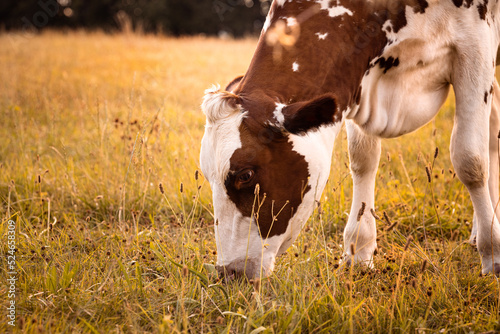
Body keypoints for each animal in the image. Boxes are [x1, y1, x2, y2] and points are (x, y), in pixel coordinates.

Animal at [201, 0, 500, 278]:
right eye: (208, 176)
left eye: (246, 175)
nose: (229, 271)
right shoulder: (358, 80)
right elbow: (362, 158)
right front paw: (359, 249)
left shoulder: (475, 43)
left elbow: (469, 159)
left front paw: (492, 253)